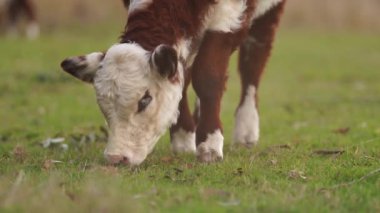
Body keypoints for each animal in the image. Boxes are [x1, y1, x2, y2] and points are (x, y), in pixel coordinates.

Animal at [60, 0, 284, 166]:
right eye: (103, 107)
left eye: (144, 101)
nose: (116, 158)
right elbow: (182, 76)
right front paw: (183, 139)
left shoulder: (229, 14)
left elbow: (208, 75)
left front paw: (210, 146)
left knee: (254, 56)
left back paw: (246, 129)